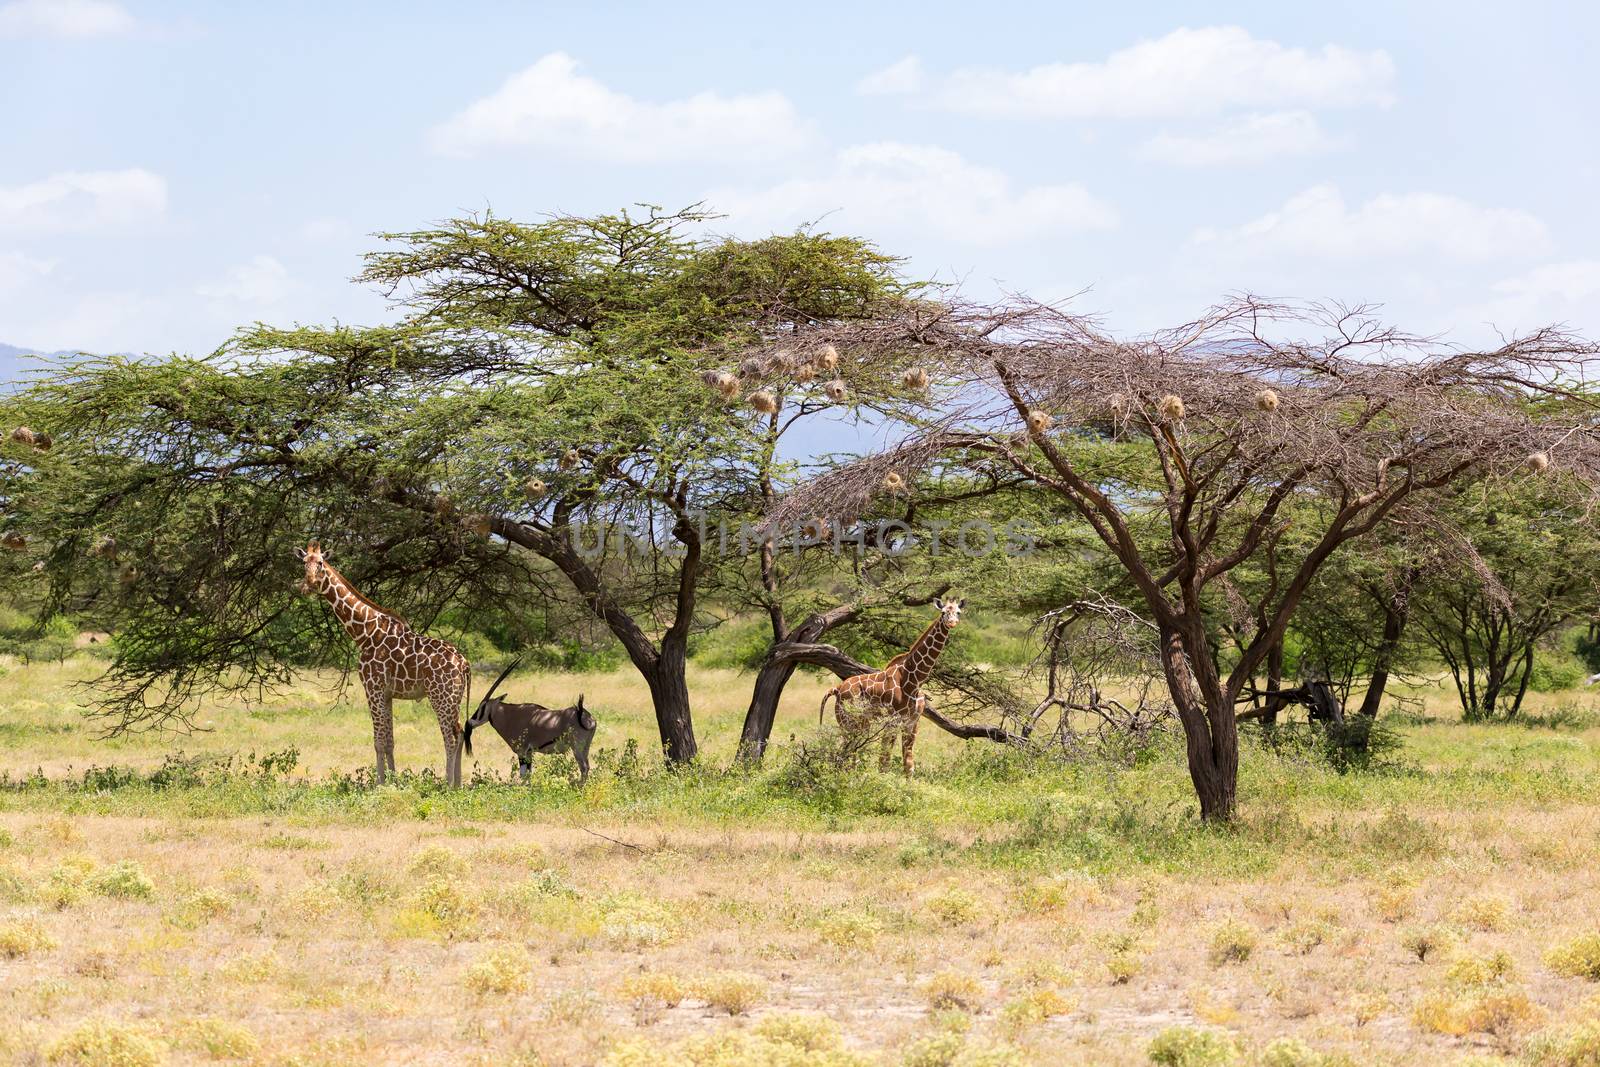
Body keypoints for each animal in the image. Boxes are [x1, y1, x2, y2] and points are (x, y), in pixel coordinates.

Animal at [297, 543, 467, 783]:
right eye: (304, 563)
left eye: (320, 563)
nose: (308, 585)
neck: (364, 633)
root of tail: (463, 662)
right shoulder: (387, 693)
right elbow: (389, 742)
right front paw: (393, 780)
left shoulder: (372, 687)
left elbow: (378, 742)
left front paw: (379, 783)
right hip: (454, 699)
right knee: (460, 734)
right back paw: (458, 784)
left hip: (440, 696)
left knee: (449, 739)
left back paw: (447, 783)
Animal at [812, 591, 960, 777]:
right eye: (943, 612)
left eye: (958, 612)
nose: (952, 622)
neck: (915, 680)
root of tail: (837, 688)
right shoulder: (893, 721)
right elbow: (884, 762)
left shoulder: (912, 723)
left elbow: (908, 765)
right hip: (848, 720)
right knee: (844, 752)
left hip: (861, 723)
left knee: (850, 753)